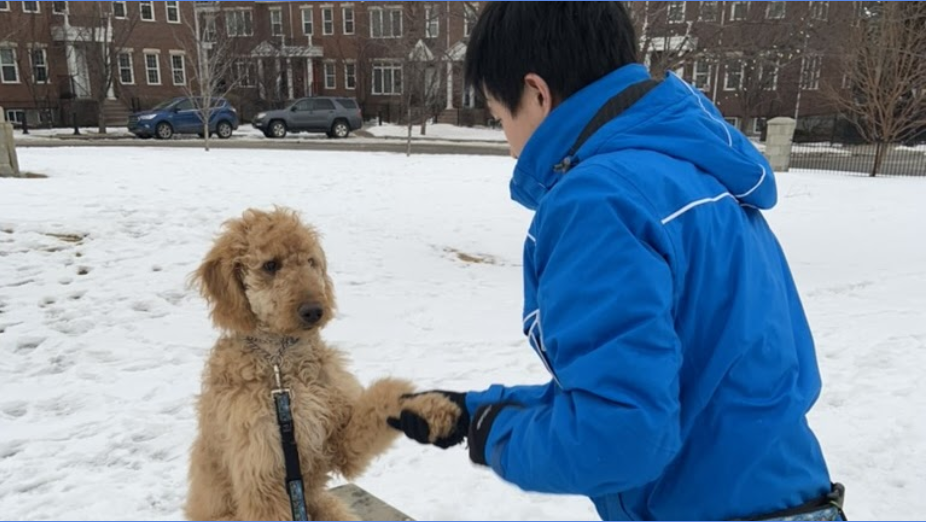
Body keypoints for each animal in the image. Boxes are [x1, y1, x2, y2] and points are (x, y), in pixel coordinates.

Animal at [188, 208, 428, 520]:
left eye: (311, 261)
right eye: (270, 265)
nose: (314, 310)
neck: (280, 365)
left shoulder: (338, 440)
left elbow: (373, 409)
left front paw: (417, 399)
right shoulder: (262, 476)